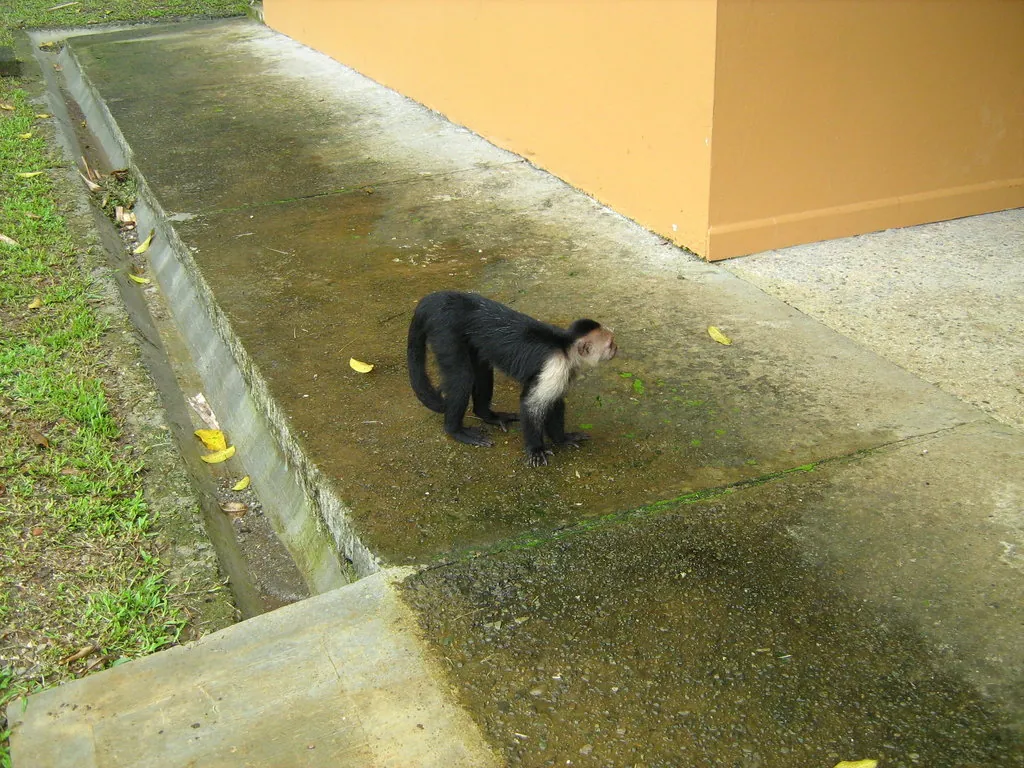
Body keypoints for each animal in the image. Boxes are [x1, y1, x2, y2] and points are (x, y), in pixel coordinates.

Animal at [407, 291, 617, 466]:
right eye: (610, 344)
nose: (616, 348)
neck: (564, 347)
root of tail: (438, 298)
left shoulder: (565, 370)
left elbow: (554, 402)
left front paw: (562, 439)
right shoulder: (555, 366)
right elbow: (531, 404)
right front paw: (536, 449)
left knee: (482, 369)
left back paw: (488, 415)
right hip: (445, 332)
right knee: (462, 378)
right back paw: (455, 430)